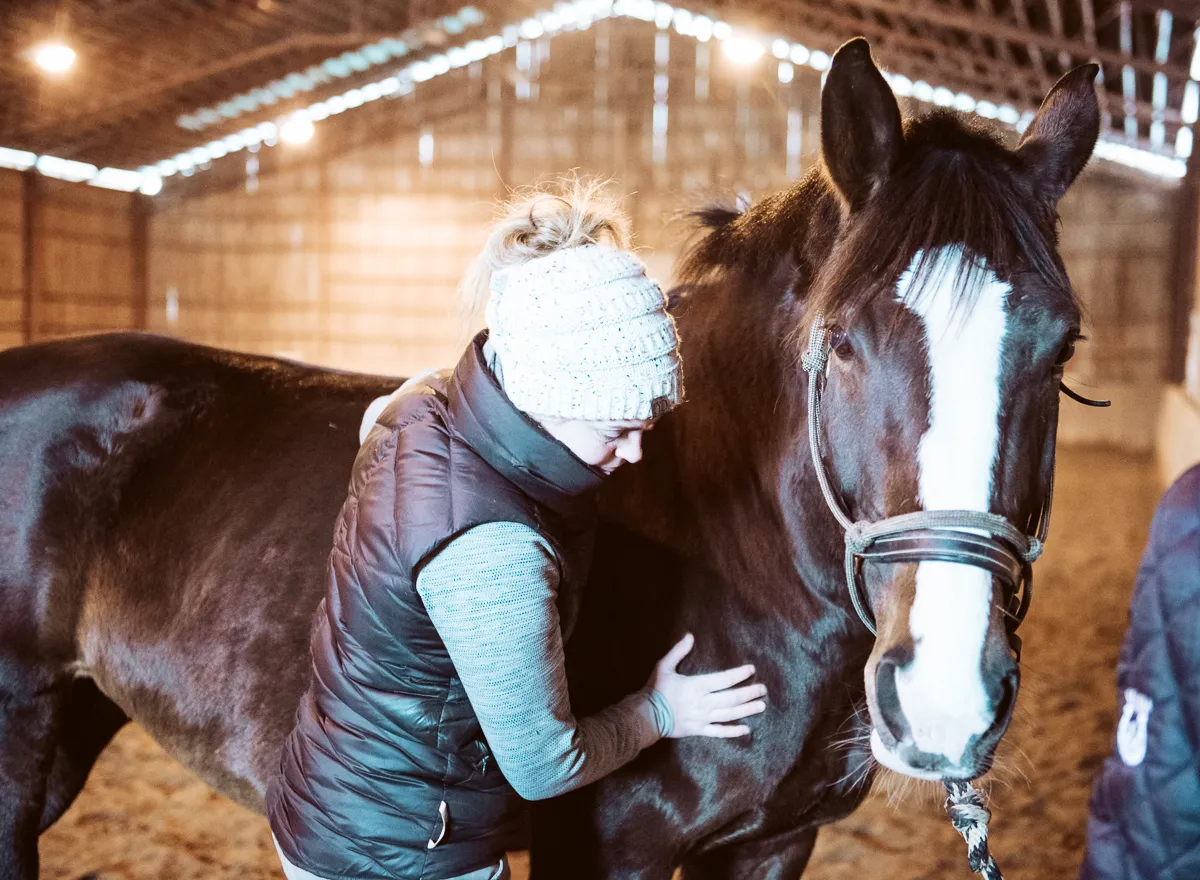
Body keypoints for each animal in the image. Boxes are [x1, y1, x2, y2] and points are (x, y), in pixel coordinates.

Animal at [0, 39, 1099, 879]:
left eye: (1063, 348)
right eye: (841, 341)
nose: (945, 698)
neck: (731, 552)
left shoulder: (774, 844)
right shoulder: (608, 848)